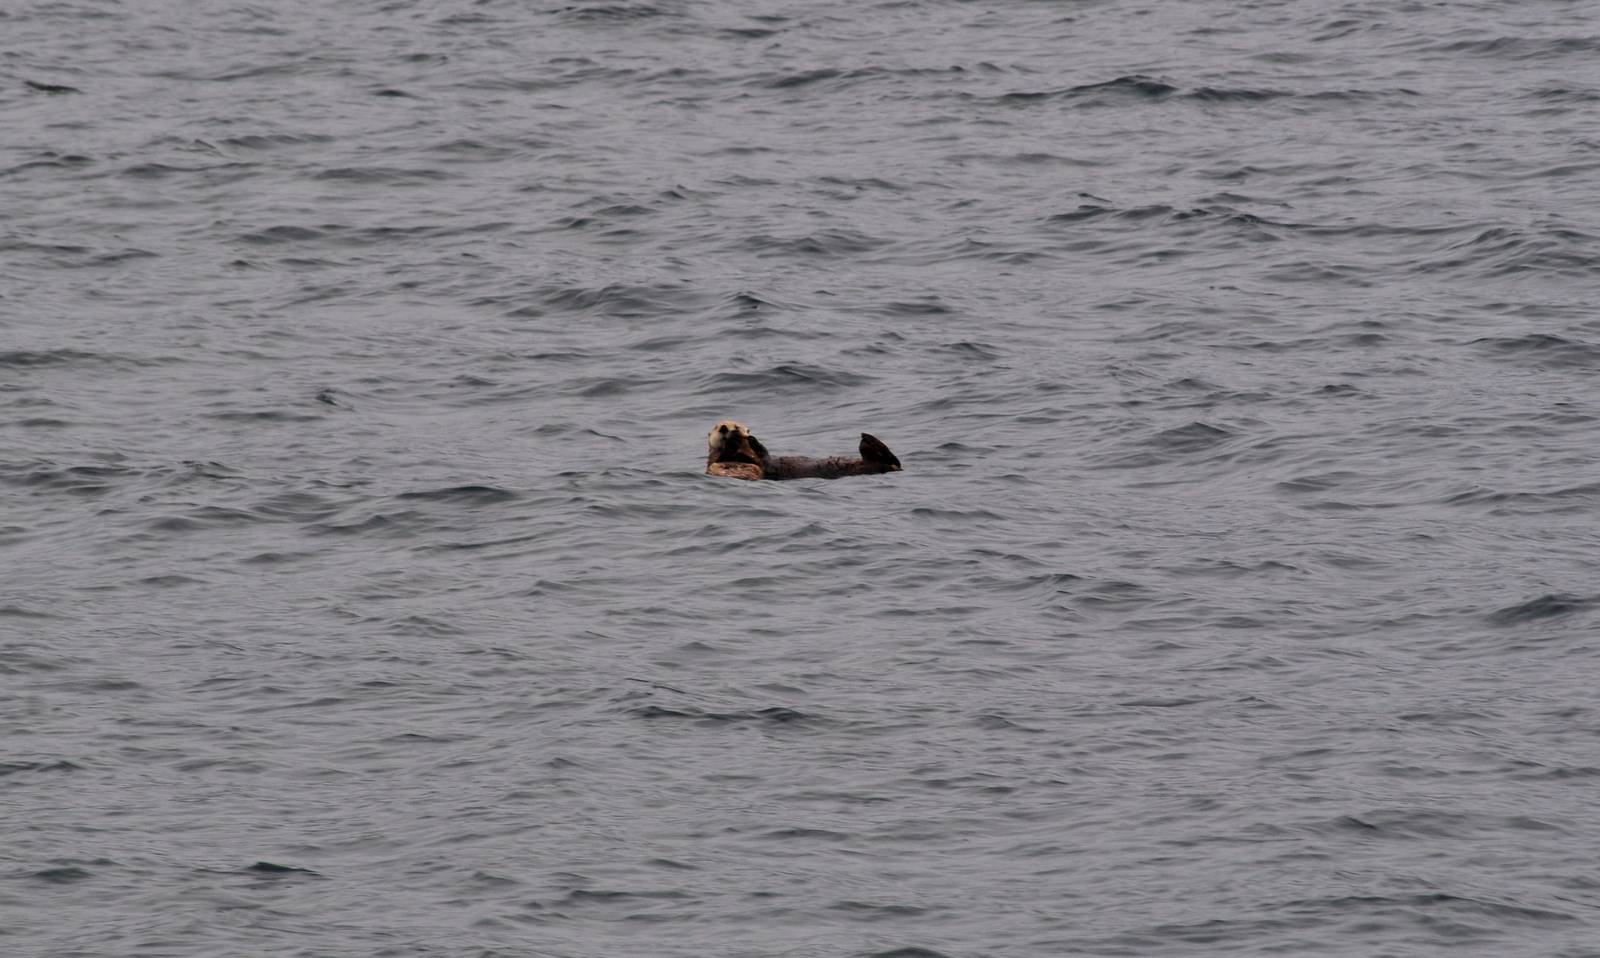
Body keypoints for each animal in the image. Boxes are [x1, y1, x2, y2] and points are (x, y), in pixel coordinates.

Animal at [706, 421, 902, 481]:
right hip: (877, 465)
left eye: (738, 426)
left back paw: (866, 437)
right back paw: (868, 440)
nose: (727, 429)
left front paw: (752, 440)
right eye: (719, 427)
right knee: (892, 461)